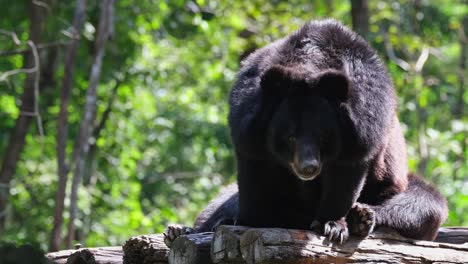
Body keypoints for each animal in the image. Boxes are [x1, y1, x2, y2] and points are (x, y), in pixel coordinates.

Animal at [164, 18, 446, 245]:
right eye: (289, 137)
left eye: (323, 137)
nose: (308, 167)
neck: (309, 65)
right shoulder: (249, 121)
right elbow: (254, 177)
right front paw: (253, 218)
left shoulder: (364, 121)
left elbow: (346, 174)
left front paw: (332, 225)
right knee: (218, 205)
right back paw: (181, 229)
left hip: (394, 183)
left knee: (422, 204)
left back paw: (363, 216)